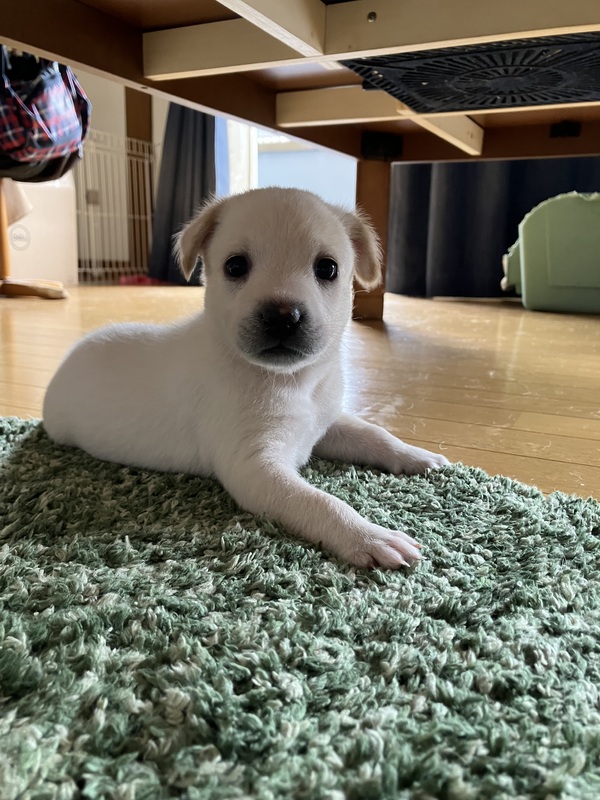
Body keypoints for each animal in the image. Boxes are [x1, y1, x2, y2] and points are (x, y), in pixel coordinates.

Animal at [43, 188, 449, 569]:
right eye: (235, 265)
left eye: (328, 269)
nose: (282, 316)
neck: (291, 382)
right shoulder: (256, 470)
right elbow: (318, 501)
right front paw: (369, 536)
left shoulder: (326, 423)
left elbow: (374, 435)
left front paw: (416, 455)